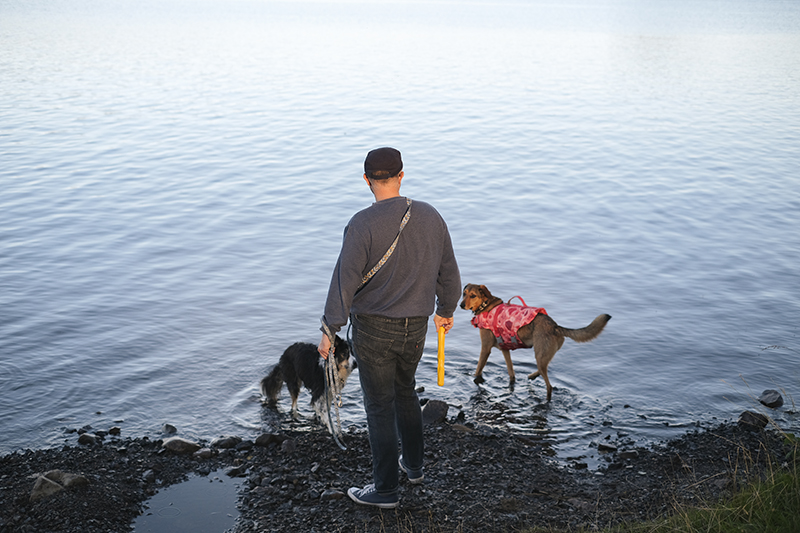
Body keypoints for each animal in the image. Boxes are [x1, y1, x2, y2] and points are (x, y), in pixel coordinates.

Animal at [460, 282, 608, 400]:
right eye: (464, 293)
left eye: (473, 296)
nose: (461, 305)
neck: (485, 305)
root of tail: (555, 326)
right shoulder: (505, 349)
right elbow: (511, 372)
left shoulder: (485, 348)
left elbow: (478, 369)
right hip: (543, 355)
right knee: (543, 369)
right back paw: (532, 376)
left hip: (540, 354)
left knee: (549, 385)